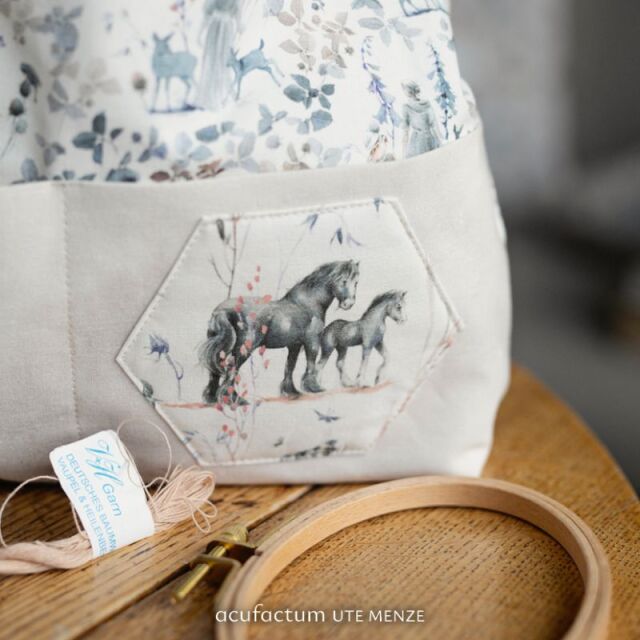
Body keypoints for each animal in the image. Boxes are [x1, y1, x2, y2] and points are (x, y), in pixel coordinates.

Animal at [199, 260, 360, 404]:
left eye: (356, 283)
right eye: (344, 281)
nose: (349, 304)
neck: (307, 304)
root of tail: (221, 311)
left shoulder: (295, 345)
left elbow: (290, 366)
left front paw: (291, 391)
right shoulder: (312, 342)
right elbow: (310, 363)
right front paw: (313, 387)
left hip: (224, 347)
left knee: (215, 370)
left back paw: (212, 398)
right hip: (244, 348)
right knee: (231, 369)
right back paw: (236, 400)